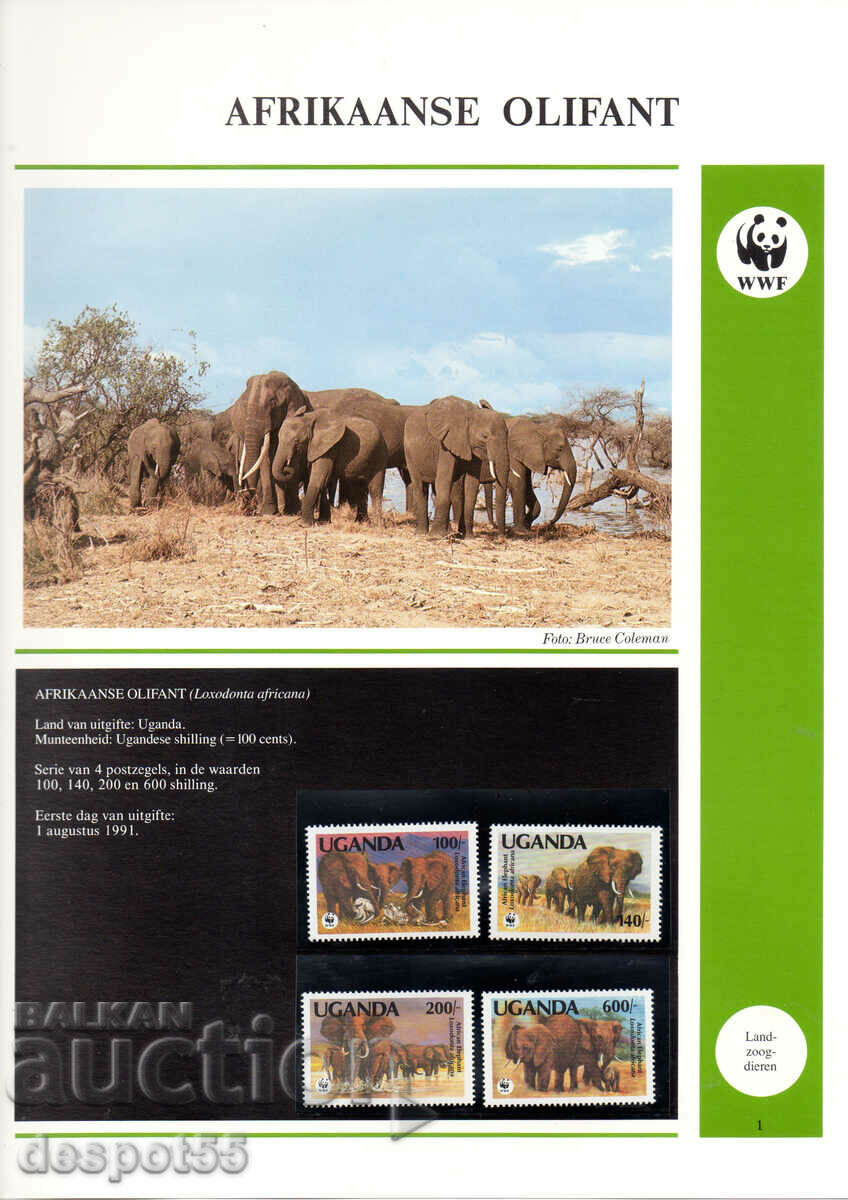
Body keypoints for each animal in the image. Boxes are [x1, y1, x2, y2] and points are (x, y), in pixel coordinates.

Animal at [230, 371, 311, 515]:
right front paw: (268, 512)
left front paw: (292, 511)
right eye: (245, 405)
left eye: (273, 402)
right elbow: (266, 458)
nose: (246, 492)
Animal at [403, 396, 509, 536]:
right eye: (485, 436)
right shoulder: (445, 443)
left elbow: (471, 485)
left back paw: (448, 532)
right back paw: (422, 533)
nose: (502, 536)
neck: (472, 413)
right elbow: (444, 479)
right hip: (409, 453)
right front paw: (436, 536)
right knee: (420, 486)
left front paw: (468, 537)